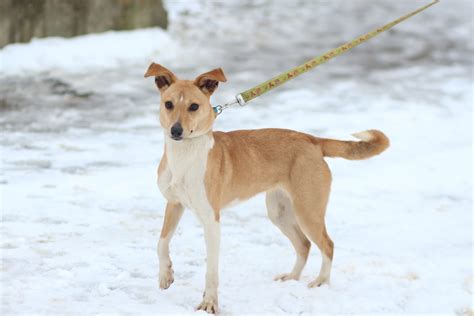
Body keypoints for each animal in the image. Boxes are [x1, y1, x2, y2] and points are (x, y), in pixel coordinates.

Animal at [143, 63, 388, 312]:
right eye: (168, 104)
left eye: (194, 106)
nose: (175, 131)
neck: (185, 155)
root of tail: (312, 140)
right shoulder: (174, 204)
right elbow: (161, 243)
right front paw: (166, 275)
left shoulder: (211, 220)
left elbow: (211, 269)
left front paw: (209, 303)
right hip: (279, 211)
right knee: (304, 245)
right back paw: (292, 277)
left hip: (307, 211)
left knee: (327, 245)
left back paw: (321, 282)